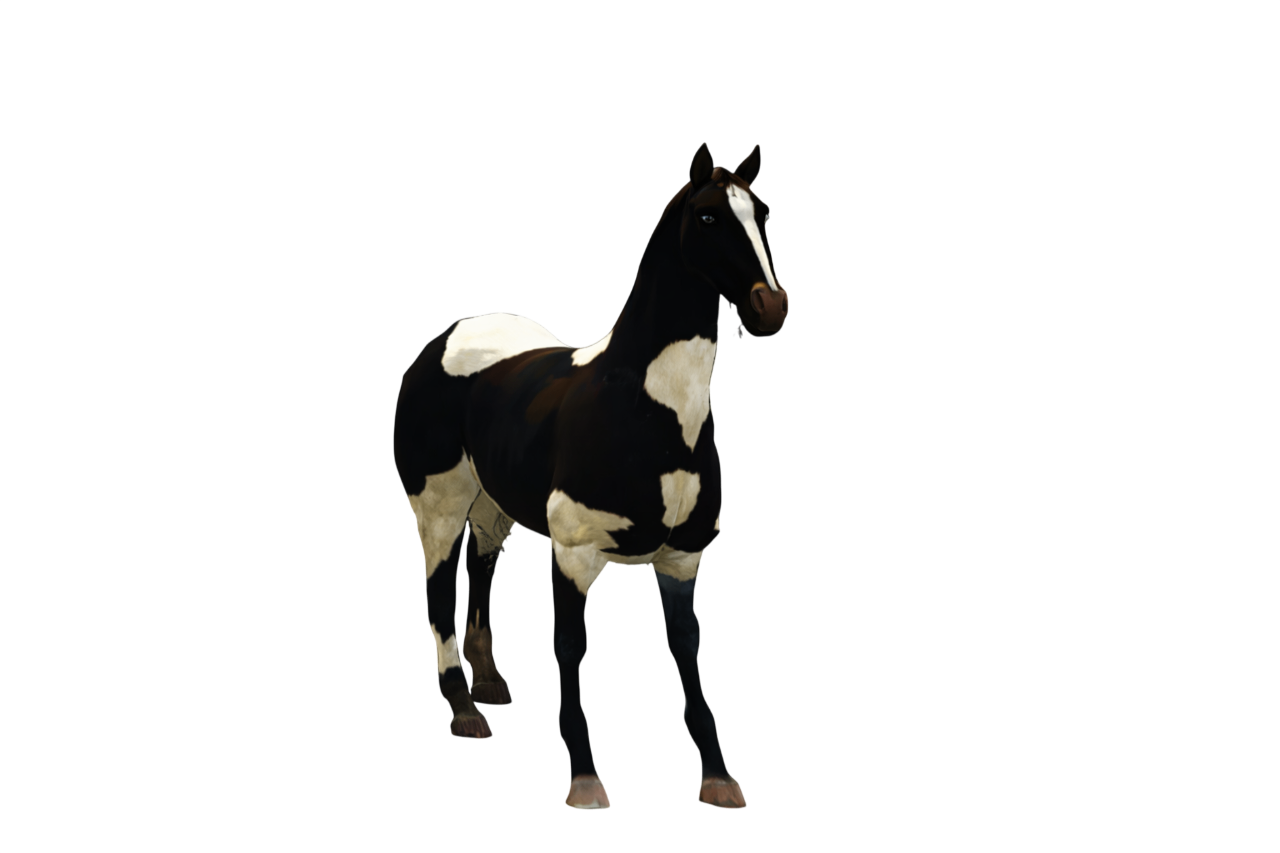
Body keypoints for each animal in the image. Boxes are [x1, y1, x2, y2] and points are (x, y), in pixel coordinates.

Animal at [397, 143, 788, 809]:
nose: (772, 306)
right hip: (440, 503)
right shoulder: (574, 553)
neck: (641, 408)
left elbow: (688, 654)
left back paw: (490, 681)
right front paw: (584, 777)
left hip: (492, 506)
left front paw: (717, 777)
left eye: (762, 215)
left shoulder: (681, 560)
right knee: (439, 586)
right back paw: (464, 709)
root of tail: (453, 331)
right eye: (708, 217)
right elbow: (570, 648)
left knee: (480, 568)